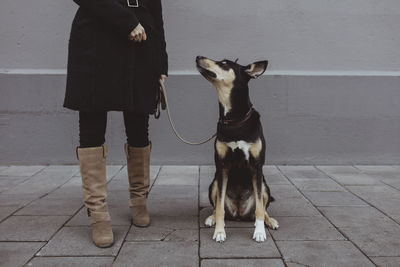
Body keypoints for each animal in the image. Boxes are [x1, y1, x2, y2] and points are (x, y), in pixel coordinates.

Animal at [196, 56, 278, 243]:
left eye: (225, 63)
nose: (198, 57)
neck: (234, 119)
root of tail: (239, 213)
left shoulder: (256, 167)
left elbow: (260, 209)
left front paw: (260, 232)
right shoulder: (222, 166)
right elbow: (219, 207)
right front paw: (219, 232)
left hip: (264, 186)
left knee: (263, 207)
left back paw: (270, 221)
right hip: (214, 184)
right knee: (217, 206)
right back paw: (211, 218)